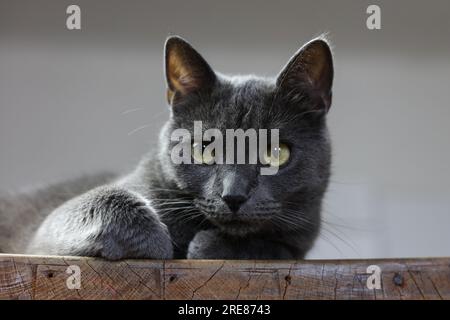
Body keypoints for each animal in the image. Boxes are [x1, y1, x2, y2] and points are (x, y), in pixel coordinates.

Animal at [0, 35, 334, 260]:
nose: (233, 195)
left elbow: (278, 247)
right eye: (205, 149)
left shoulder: (299, 239)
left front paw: (208, 247)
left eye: (276, 153)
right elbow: (102, 198)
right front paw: (154, 241)